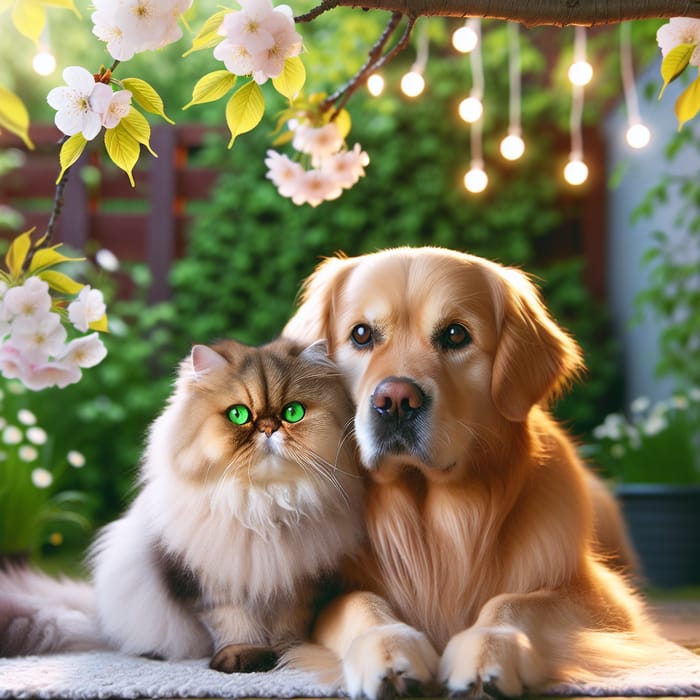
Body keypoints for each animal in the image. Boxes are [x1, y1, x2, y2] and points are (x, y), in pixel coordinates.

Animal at [0, 340, 360, 672]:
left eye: (293, 413)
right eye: (239, 415)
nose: (269, 428)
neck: (262, 505)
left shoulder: (298, 582)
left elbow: (289, 624)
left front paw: (289, 654)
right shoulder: (206, 580)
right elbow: (234, 622)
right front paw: (245, 657)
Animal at [284, 247, 656, 700]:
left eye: (456, 335)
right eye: (361, 334)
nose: (395, 400)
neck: (430, 522)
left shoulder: (603, 597)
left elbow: (515, 602)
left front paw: (488, 651)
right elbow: (359, 603)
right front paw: (387, 649)